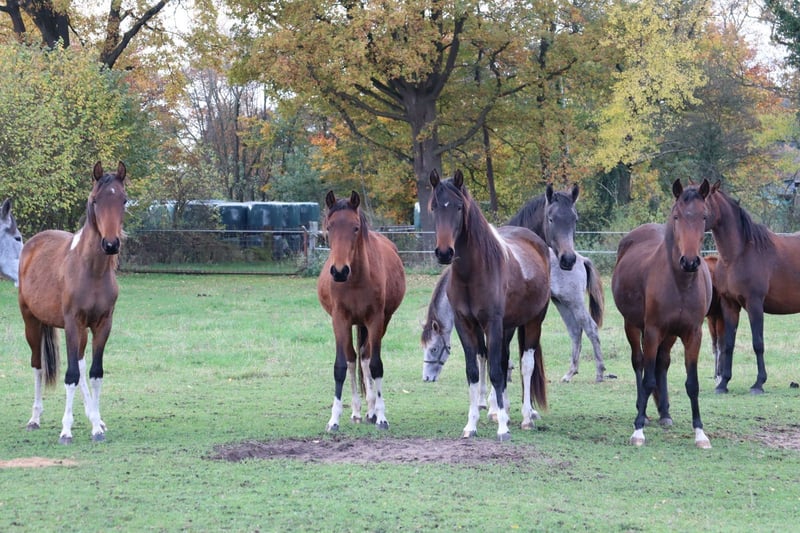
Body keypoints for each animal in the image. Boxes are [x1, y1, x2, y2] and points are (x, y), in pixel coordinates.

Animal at [17, 161, 127, 444]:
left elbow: (94, 373)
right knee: (38, 365)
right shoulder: (71, 323)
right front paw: (66, 430)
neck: (92, 271)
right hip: (32, 322)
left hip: (81, 332)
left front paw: (97, 427)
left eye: (123, 200)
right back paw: (34, 419)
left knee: (79, 362)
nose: (111, 244)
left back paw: (94, 417)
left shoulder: (102, 325)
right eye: (95, 200)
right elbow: (70, 376)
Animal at [317, 190, 406, 432]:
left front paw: (381, 417)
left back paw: (371, 411)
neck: (355, 280)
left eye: (355, 227)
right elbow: (341, 366)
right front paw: (334, 419)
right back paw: (357, 412)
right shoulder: (339, 320)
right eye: (329, 227)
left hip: (378, 323)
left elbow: (375, 365)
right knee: (352, 359)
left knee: (365, 358)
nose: (339, 271)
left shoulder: (375, 320)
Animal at [430, 169, 550, 440]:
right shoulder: (465, 325)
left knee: (526, 365)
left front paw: (503, 428)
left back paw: (526, 418)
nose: (444, 252)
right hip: (509, 327)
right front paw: (471, 425)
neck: (472, 273)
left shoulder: (492, 324)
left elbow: (496, 370)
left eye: (458, 207)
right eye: (434, 207)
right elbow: (474, 372)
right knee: (505, 363)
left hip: (534, 321)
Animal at [611, 179, 713, 448]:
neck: (680, 283)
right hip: (633, 326)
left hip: (671, 335)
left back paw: (664, 412)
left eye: (704, 216)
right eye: (677, 216)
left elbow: (692, 383)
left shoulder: (693, 334)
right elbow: (647, 379)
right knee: (639, 363)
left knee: (662, 363)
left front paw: (700, 433)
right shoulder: (653, 331)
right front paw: (638, 430)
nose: (690, 261)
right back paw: (643, 412)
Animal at [704, 180, 800, 394]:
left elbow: (758, 343)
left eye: (702, 203)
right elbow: (728, 344)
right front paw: (723, 383)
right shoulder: (729, 306)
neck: (740, 253)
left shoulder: (754, 304)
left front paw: (758, 383)